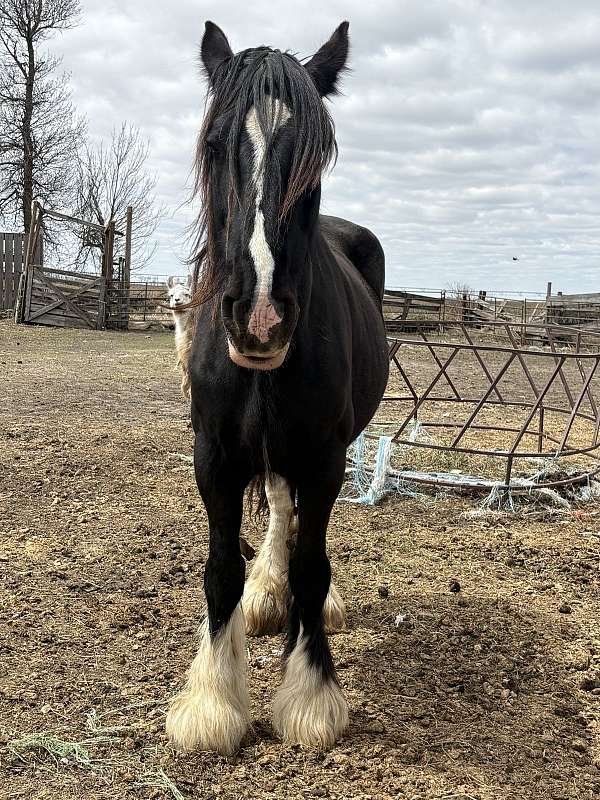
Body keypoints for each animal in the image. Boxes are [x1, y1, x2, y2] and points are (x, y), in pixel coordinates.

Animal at [166, 20, 389, 755]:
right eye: (213, 145)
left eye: (316, 161)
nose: (260, 316)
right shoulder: (214, 458)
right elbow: (220, 570)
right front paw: (212, 700)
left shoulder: (324, 460)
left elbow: (313, 566)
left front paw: (311, 696)